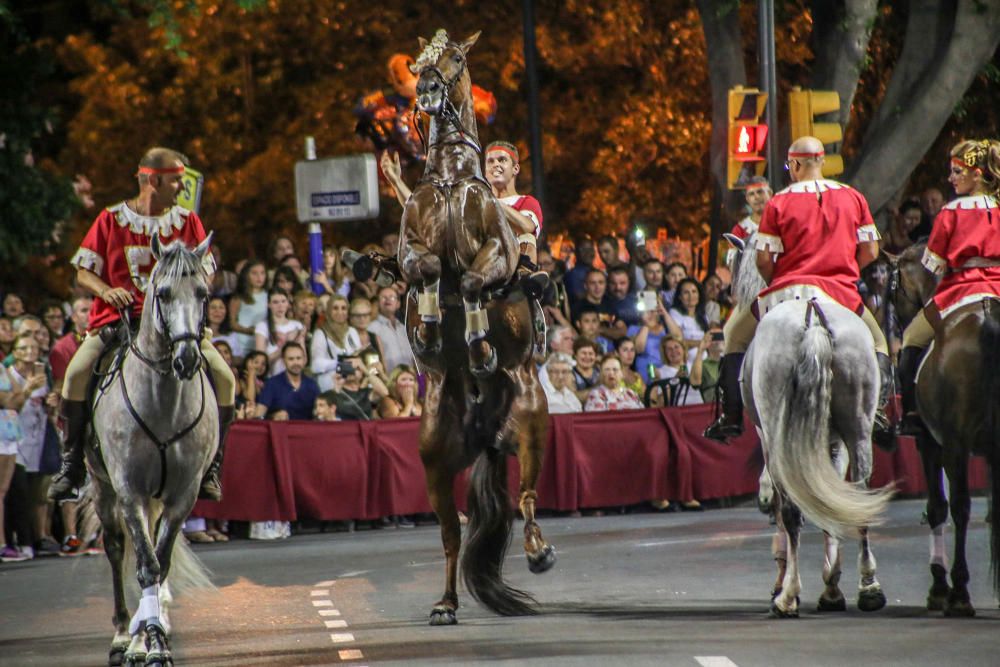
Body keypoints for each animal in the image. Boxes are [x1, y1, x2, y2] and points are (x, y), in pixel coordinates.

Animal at [88, 236, 217, 667]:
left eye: (203, 293)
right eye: (162, 293)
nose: (187, 359)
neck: (162, 403)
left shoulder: (182, 496)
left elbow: (161, 563)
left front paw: (157, 638)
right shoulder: (129, 492)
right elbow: (146, 565)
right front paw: (150, 643)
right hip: (104, 489)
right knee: (115, 550)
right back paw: (123, 637)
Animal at [396, 30, 556, 628]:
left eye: (457, 58)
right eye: (418, 62)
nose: (426, 88)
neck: (449, 179)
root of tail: (487, 430)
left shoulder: (497, 245)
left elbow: (471, 277)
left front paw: (477, 341)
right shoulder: (411, 244)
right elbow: (423, 268)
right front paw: (429, 325)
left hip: (531, 418)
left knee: (529, 497)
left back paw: (538, 550)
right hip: (434, 456)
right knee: (449, 535)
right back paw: (444, 603)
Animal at [728, 232, 892, 620]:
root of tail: (813, 319)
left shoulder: (769, 438)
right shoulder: (832, 441)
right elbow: (829, 499)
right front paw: (832, 585)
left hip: (782, 437)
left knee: (791, 510)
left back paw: (787, 596)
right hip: (857, 429)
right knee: (858, 494)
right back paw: (868, 587)